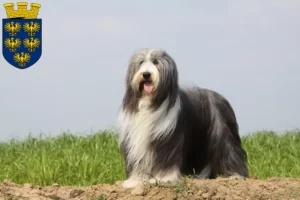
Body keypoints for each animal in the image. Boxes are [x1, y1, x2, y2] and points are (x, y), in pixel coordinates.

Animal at [117, 47, 248, 188]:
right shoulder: (136, 139)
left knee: (229, 149)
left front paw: (164, 178)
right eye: (141, 62)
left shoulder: (167, 137)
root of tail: (219, 96)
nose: (146, 74)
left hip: (222, 130)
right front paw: (135, 180)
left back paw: (235, 175)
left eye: (156, 62)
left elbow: (166, 158)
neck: (150, 103)